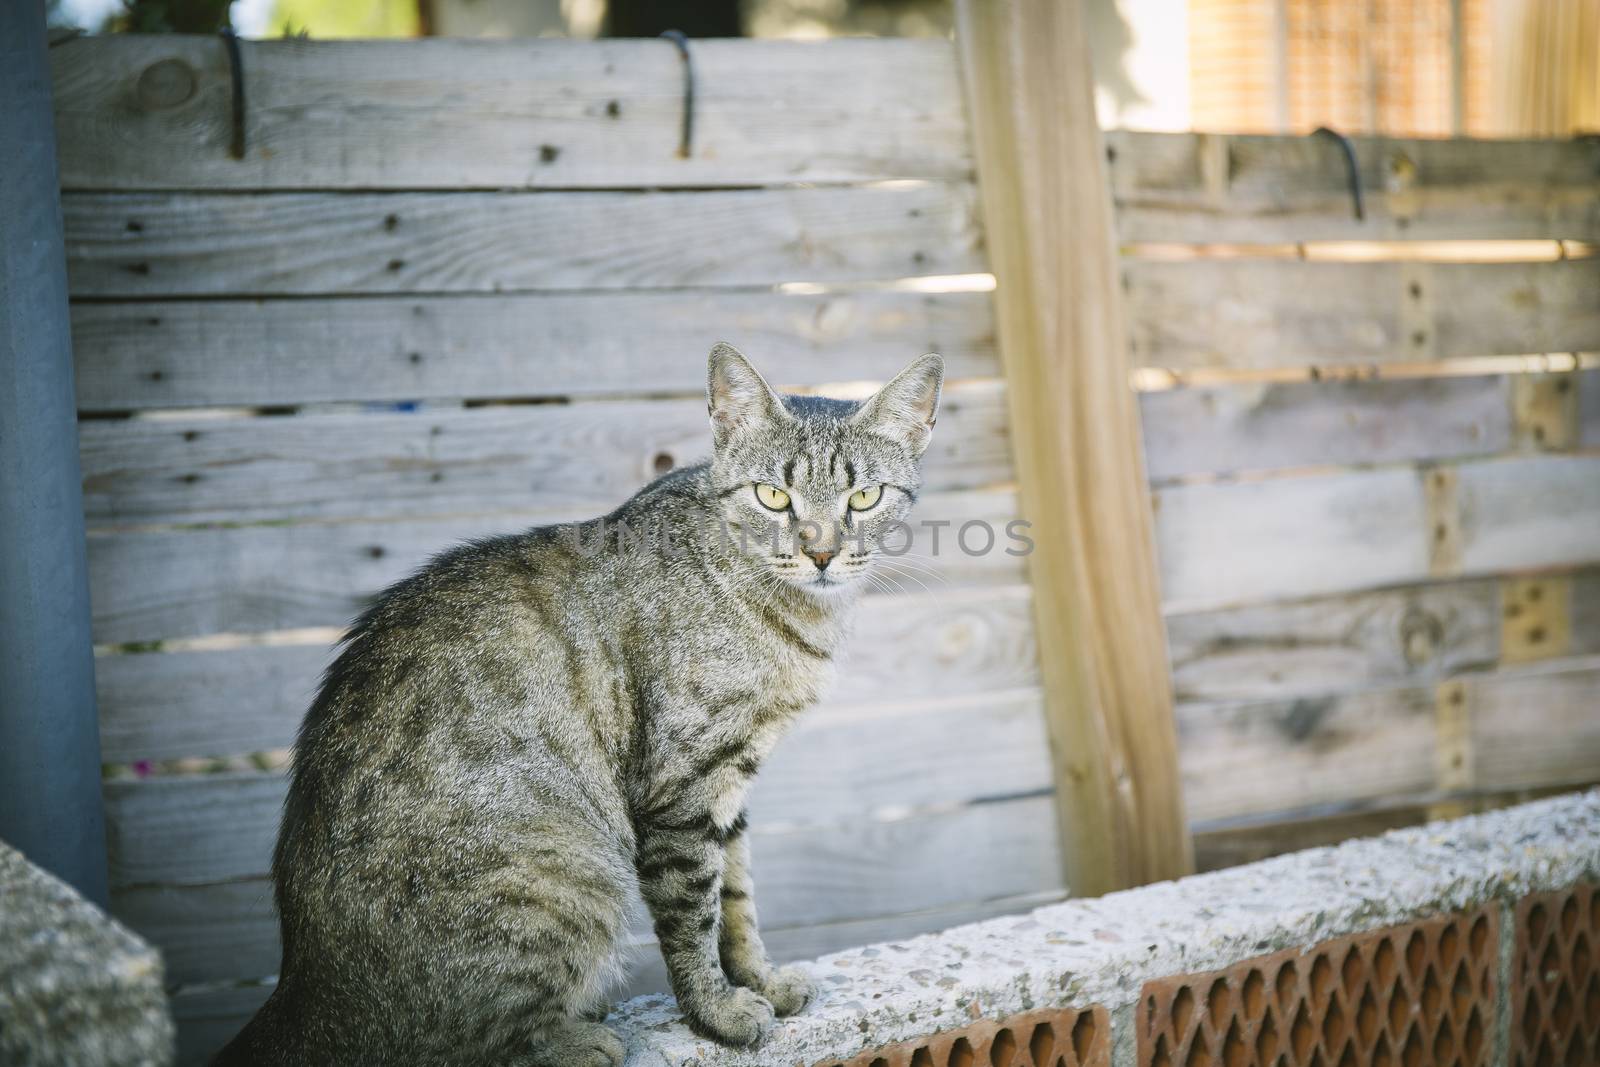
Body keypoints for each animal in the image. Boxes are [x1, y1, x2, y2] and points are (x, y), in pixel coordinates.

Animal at [211, 347, 934, 1062]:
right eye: (773, 496)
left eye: (864, 496)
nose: (822, 551)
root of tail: (301, 988)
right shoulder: (682, 790)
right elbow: (694, 916)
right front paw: (717, 1012)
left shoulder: (728, 785)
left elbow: (738, 899)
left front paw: (760, 980)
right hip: (569, 878)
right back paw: (580, 1038)